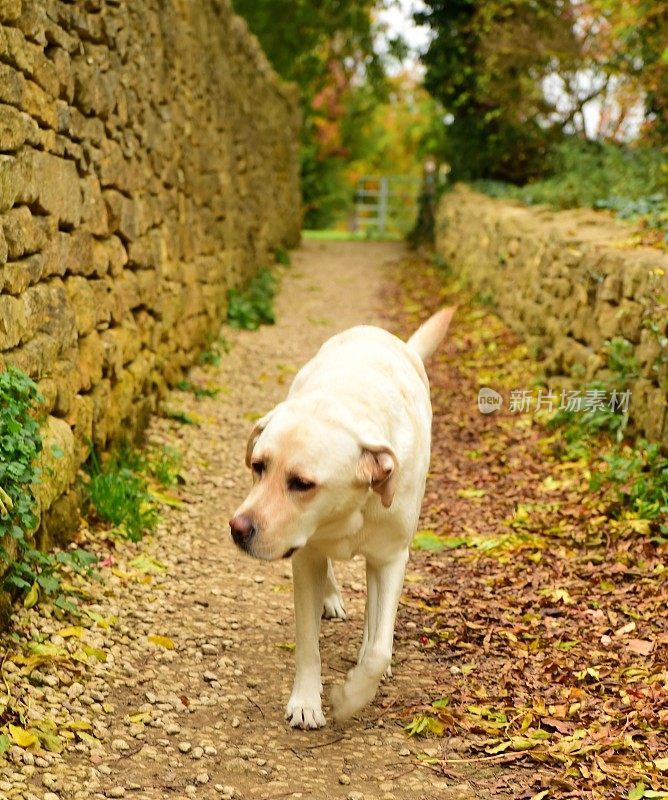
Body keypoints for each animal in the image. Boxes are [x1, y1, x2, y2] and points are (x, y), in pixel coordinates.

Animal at [230, 304, 454, 724]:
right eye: (258, 466)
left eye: (302, 483)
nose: (237, 529)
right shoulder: (305, 556)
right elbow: (307, 643)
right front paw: (306, 701)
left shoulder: (392, 558)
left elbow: (380, 647)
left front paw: (353, 694)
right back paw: (331, 597)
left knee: (375, 618)